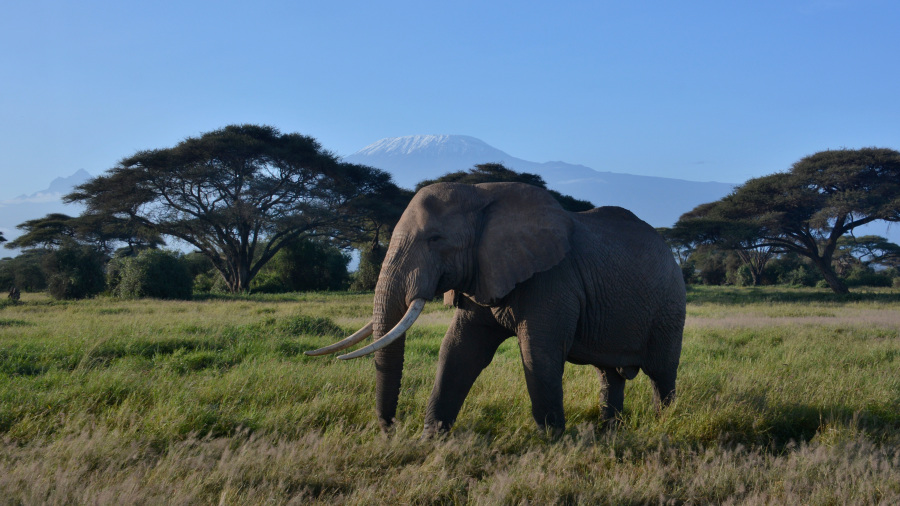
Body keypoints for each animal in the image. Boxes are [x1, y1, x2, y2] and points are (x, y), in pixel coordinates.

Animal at [308, 182, 685, 435]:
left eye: (435, 239)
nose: (391, 428)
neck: (481, 195)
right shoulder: (483, 272)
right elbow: (459, 350)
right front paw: (432, 439)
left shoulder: (552, 278)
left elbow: (539, 353)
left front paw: (553, 441)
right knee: (610, 374)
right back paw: (610, 431)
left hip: (670, 304)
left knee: (662, 373)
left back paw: (665, 423)